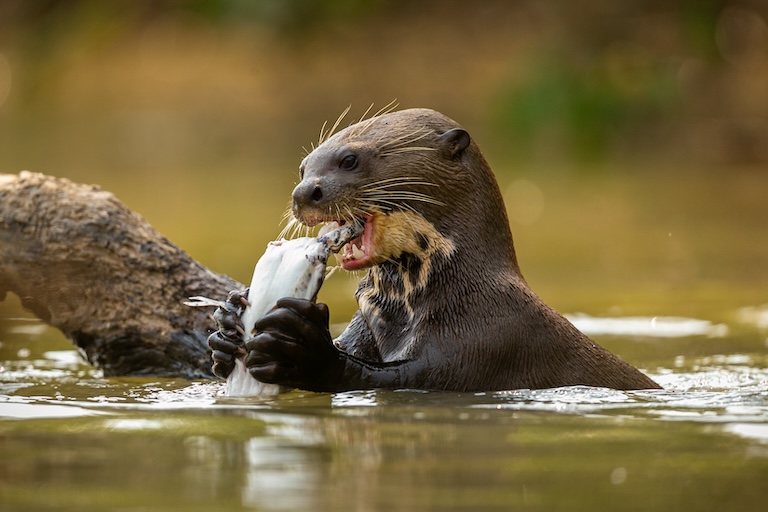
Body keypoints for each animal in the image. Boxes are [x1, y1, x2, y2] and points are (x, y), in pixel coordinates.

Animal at [208, 108, 660, 392]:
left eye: (350, 159)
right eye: (303, 168)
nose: (304, 192)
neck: (459, 296)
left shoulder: (488, 344)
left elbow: (391, 378)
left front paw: (303, 350)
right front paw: (227, 325)